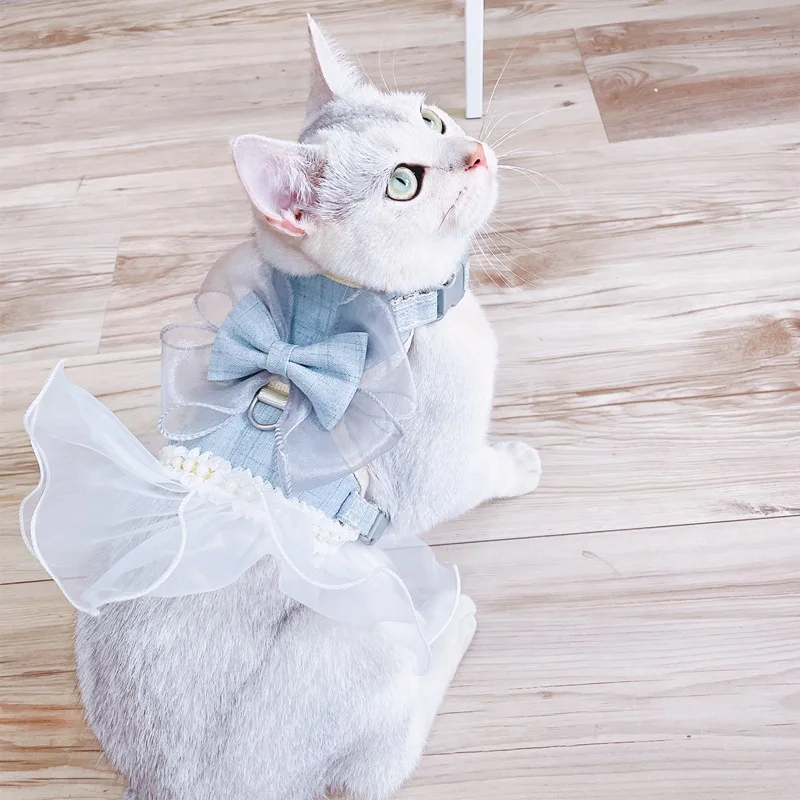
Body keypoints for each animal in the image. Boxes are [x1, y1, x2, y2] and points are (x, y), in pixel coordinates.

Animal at [75, 16, 541, 800]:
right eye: (404, 182)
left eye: (431, 118)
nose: (473, 151)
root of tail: (169, 785)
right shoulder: (437, 477)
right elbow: (484, 473)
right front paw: (520, 462)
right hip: (362, 625)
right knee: (377, 771)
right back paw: (450, 624)